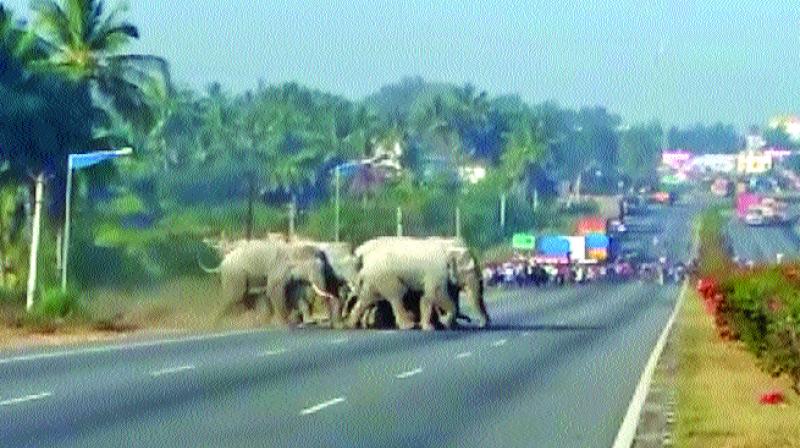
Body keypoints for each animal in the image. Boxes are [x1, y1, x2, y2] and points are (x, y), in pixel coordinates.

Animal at [348, 238, 488, 328]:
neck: (448, 245)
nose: (483, 324)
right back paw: (409, 325)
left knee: (367, 299)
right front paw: (444, 323)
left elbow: (427, 297)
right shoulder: (436, 271)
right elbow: (435, 294)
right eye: (471, 269)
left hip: (373, 280)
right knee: (397, 296)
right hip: (385, 278)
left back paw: (351, 325)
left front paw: (429, 327)